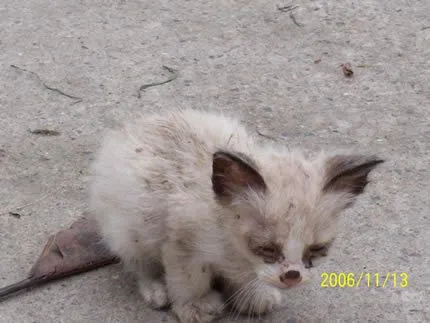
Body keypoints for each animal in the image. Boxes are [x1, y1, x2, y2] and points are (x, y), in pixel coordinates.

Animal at [87, 109, 382, 323]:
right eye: (267, 248)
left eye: (318, 249)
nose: (292, 276)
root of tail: (136, 126)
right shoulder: (182, 244)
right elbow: (188, 280)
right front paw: (195, 306)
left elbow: (247, 278)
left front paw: (252, 296)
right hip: (128, 229)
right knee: (139, 263)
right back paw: (155, 290)